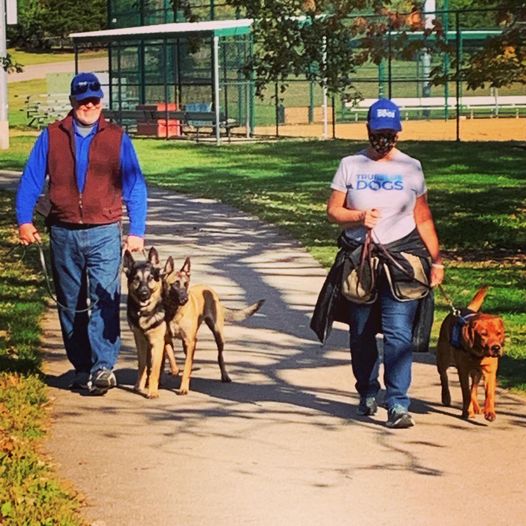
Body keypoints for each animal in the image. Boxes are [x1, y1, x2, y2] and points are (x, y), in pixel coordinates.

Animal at [164, 256, 266, 396]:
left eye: (186, 284)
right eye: (175, 284)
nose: (185, 299)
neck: (175, 311)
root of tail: (211, 291)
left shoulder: (191, 341)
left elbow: (187, 366)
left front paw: (184, 387)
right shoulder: (168, 339)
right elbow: (171, 355)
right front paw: (174, 370)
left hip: (218, 334)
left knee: (219, 356)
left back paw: (225, 375)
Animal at [438, 286, 508, 422]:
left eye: (499, 333)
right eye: (484, 334)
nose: (496, 348)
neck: (478, 354)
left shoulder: (490, 371)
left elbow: (488, 393)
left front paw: (490, 412)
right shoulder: (463, 371)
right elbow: (466, 393)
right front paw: (467, 411)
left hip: (477, 373)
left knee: (474, 388)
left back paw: (475, 406)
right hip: (443, 359)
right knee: (443, 376)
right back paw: (446, 397)